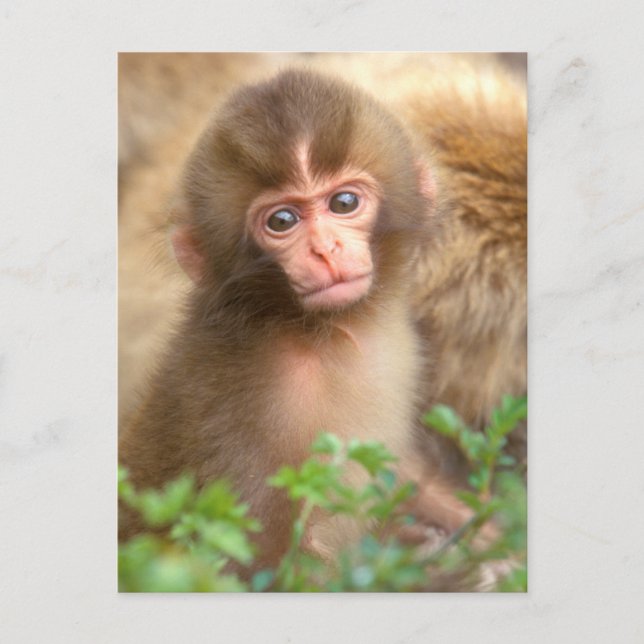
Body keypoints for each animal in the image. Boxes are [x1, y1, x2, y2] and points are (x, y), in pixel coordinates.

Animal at [119, 57, 527, 572]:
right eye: (282, 221)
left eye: (344, 203)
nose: (325, 249)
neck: (324, 333)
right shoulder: (260, 404)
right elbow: (254, 560)